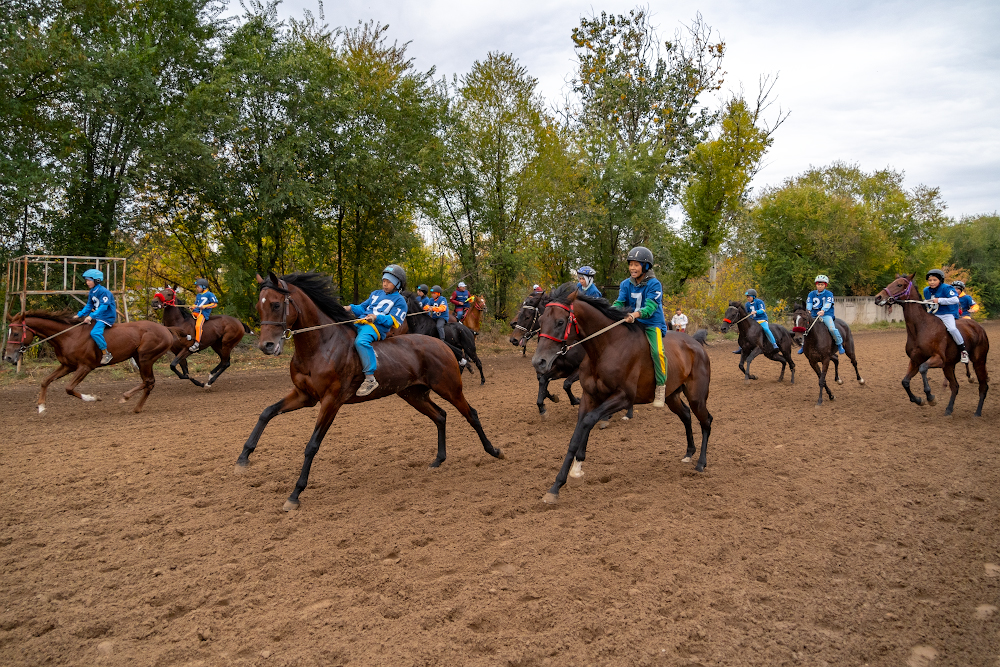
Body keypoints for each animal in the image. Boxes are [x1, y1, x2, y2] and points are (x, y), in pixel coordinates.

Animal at [3, 312, 174, 412]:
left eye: (16, 333)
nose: (8, 357)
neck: (69, 336)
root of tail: (166, 330)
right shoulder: (67, 366)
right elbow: (45, 381)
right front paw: (41, 406)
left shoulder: (85, 367)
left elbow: (68, 388)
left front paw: (93, 398)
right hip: (139, 358)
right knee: (149, 382)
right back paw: (137, 408)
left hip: (145, 357)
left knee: (148, 381)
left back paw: (125, 397)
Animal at [232, 272, 500, 512]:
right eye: (259, 306)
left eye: (276, 304)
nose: (266, 346)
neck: (322, 345)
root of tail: (441, 343)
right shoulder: (304, 395)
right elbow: (267, 412)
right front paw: (243, 457)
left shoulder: (331, 401)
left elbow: (312, 445)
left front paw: (295, 493)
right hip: (413, 394)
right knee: (440, 416)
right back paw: (439, 459)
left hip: (449, 387)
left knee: (471, 414)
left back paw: (493, 450)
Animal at [532, 284, 712, 506]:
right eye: (540, 321)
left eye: (560, 322)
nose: (538, 361)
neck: (607, 347)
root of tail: (695, 343)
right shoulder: (590, 396)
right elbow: (578, 433)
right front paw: (561, 482)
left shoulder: (623, 397)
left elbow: (589, 420)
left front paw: (574, 471)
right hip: (672, 396)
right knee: (686, 415)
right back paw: (689, 453)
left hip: (697, 396)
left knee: (706, 421)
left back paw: (701, 462)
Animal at [872, 274, 988, 414]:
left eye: (899, 284)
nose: (878, 297)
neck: (921, 327)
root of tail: (980, 328)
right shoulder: (915, 360)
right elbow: (905, 381)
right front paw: (918, 400)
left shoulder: (938, 359)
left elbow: (923, 368)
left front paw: (930, 397)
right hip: (949, 366)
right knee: (955, 386)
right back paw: (949, 410)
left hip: (979, 361)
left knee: (983, 385)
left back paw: (977, 412)